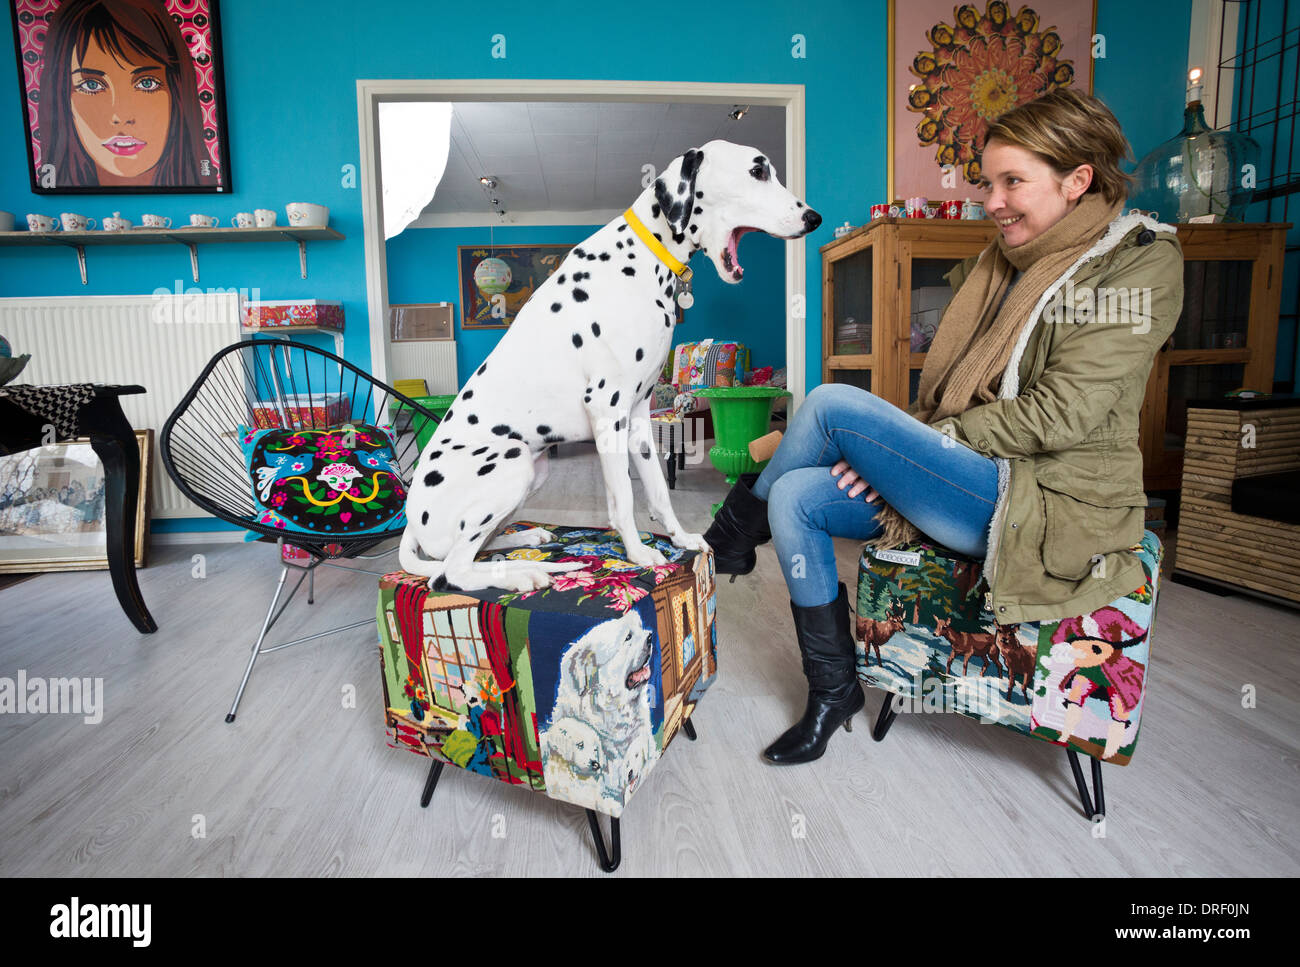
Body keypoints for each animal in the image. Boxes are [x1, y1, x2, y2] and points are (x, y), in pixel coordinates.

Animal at [395, 135, 821, 590]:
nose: (814, 218)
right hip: (509, 458)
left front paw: (682, 537)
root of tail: (410, 522)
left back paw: (525, 539)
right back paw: (524, 574)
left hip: (533, 470)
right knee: (451, 570)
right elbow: (624, 498)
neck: (644, 257)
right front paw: (637, 553)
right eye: (758, 171)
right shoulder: (607, 410)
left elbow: (658, 490)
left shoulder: (638, 417)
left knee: (479, 548)